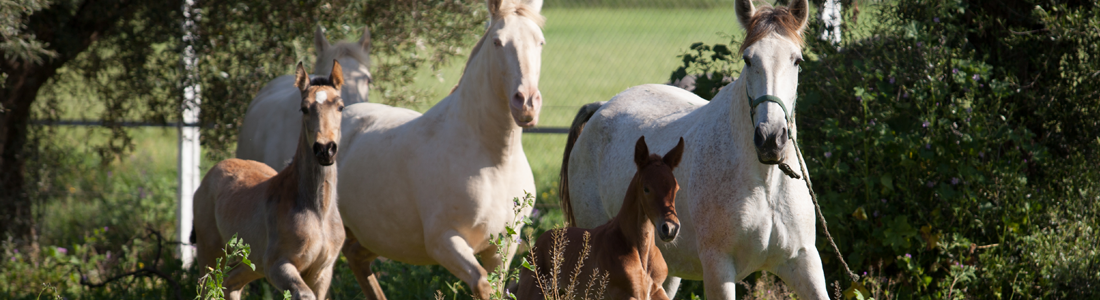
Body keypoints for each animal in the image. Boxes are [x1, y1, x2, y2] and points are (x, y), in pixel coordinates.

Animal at [191, 60, 347, 298]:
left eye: (340, 106)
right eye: (304, 108)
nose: (325, 150)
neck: (317, 212)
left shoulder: (322, 272)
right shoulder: (277, 265)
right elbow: (304, 294)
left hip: (250, 263)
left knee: (230, 285)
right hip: (211, 252)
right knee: (207, 287)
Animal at [332, 0, 543, 298]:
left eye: (540, 42)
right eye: (497, 42)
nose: (526, 103)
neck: (494, 162)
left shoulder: (502, 246)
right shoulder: (444, 241)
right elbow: (481, 283)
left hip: (375, 236)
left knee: (356, 257)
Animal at [519, 136, 682, 298]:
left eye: (676, 188)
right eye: (646, 189)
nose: (670, 228)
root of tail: (537, 243)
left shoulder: (656, 290)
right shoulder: (626, 294)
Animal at [563, 0, 827, 298]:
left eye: (797, 61)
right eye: (748, 60)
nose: (770, 138)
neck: (766, 184)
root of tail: (601, 107)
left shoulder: (803, 261)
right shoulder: (718, 268)